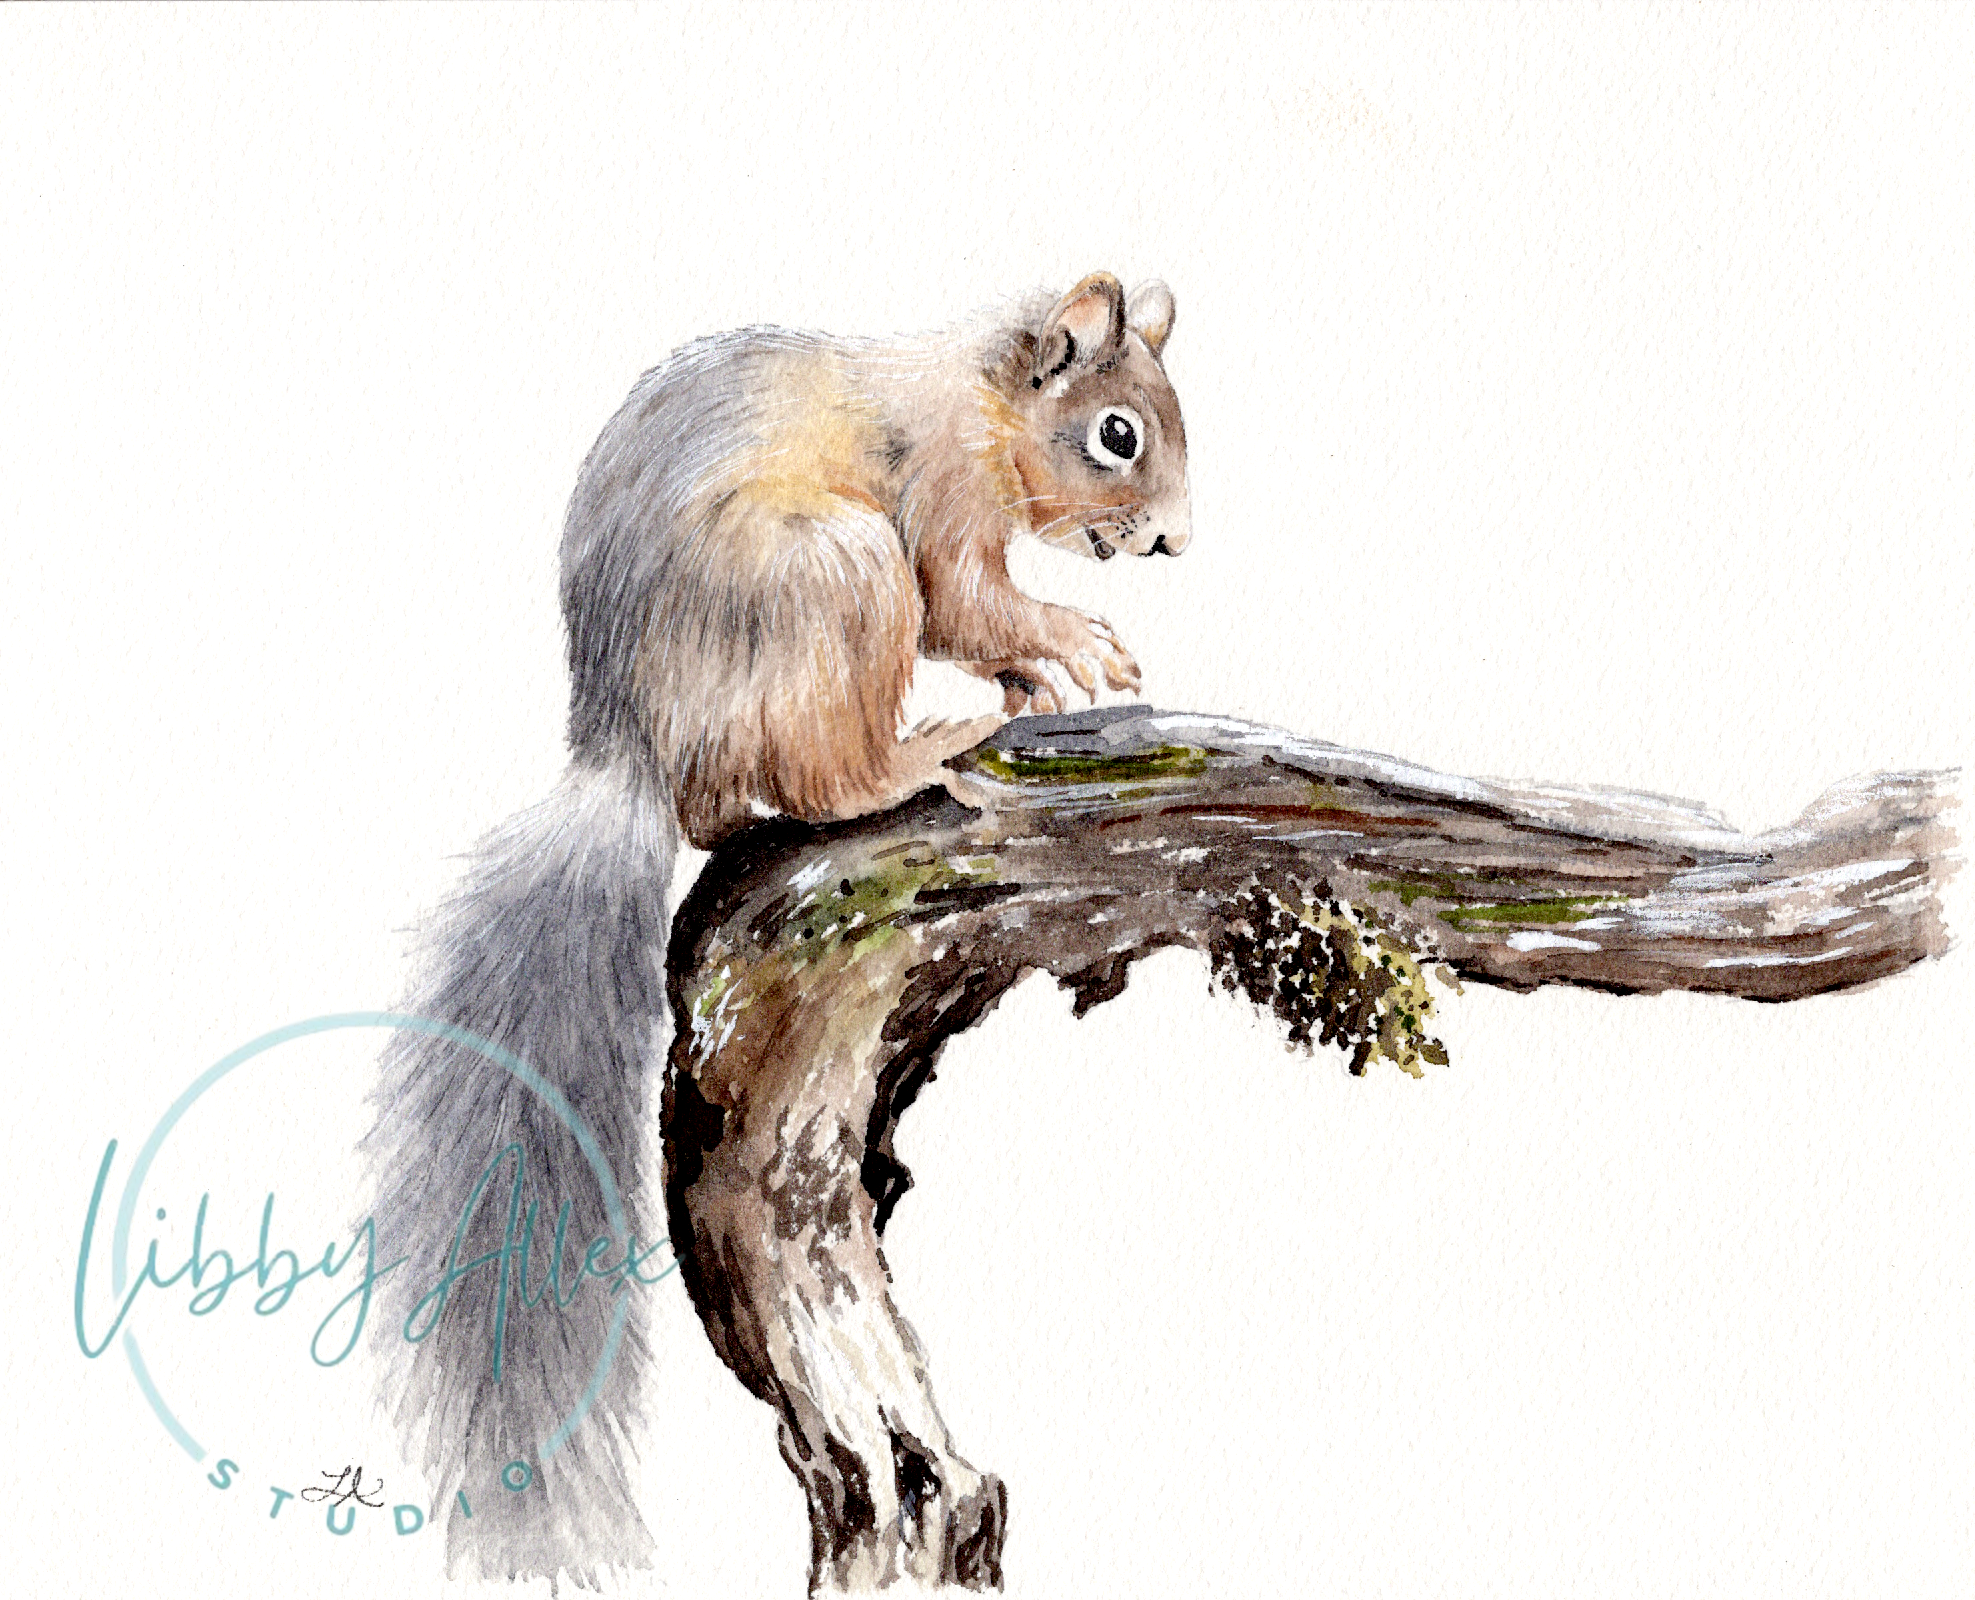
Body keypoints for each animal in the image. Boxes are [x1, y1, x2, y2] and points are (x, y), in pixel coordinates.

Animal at [363, 272, 1191, 1586]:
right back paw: (915, 756)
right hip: (831, 573)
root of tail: (638, 753)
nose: (1172, 539)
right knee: (816, 778)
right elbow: (971, 602)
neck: (982, 397)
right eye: (1118, 434)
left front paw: (1039, 677)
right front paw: (1074, 643)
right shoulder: (940, 497)